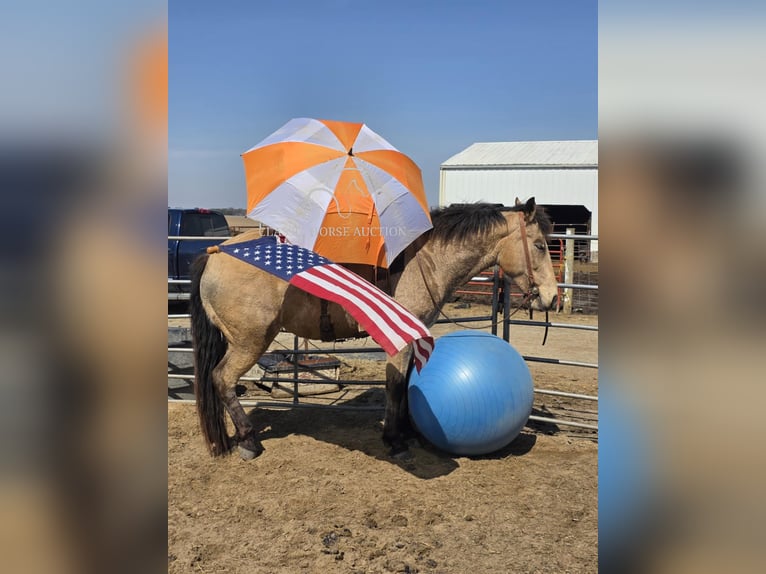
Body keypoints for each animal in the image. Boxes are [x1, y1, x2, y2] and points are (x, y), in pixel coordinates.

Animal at [188, 200, 560, 462]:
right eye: (540, 245)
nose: (553, 298)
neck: (423, 260)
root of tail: (216, 252)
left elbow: (407, 384)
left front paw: (408, 433)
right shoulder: (401, 340)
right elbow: (396, 386)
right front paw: (395, 441)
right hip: (250, 342)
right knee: (222, 379)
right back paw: (248, 441)